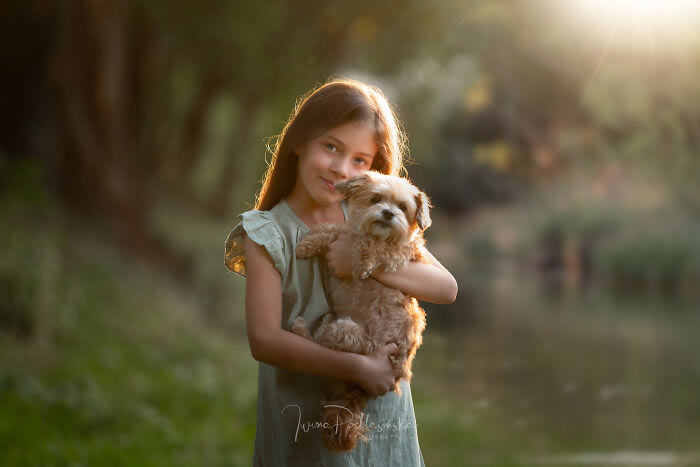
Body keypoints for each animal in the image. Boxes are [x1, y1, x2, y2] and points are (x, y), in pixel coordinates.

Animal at [292, 172, 432, 454]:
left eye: (403, 208)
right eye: (376, 199)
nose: (388, 213)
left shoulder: (398, 255)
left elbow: (371, 244)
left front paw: (363, 260)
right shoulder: (344, 233)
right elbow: (333, 229)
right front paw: (307, 244)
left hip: (345, 332)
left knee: (318, 343)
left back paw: (302, 329)